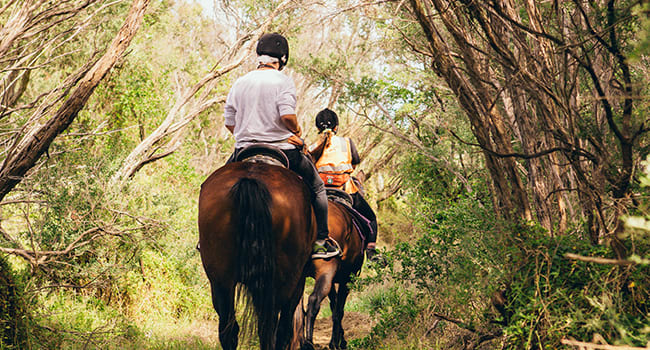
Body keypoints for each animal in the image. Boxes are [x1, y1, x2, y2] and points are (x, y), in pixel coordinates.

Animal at [199, 162, 316, 350]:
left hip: (220, 281)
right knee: (274, 330)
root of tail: (251, 180)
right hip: (283, 284)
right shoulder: (297, 283)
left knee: (229, 329)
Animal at [302, 196, 364, 348]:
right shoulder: (346, 279)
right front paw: (337, 342)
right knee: (314, 300)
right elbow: (338, 310)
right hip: (327, 269)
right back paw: (308, 342)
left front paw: (339, 339)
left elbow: (333, 306)